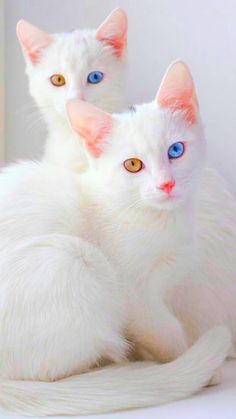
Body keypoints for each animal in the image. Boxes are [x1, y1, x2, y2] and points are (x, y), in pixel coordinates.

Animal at [0, 62, 230, 414]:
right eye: (133, 165)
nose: (166, 184)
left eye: (176, 150)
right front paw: (189, 361)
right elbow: (164, 330)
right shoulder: (135, 294)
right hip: (74, 262)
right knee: (50, 372)